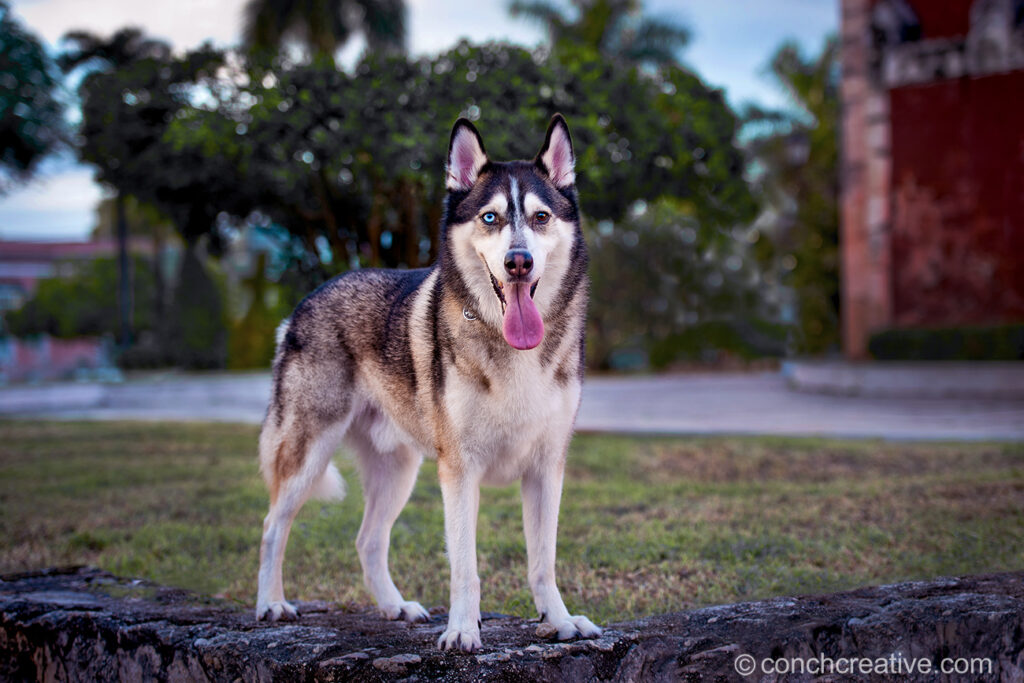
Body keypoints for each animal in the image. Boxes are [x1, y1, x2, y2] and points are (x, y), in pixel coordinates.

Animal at [253, 113, 598, 651]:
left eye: (541, 217)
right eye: (491, 218)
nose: (518, 261)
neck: (508, 345)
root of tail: (307, 299)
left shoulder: (547, 467)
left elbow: (543, 563)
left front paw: (559, 621)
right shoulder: (459, 470)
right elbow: (465, 568)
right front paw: (462, 630)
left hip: (398, 470)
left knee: (367, 540)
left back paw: (395, 606)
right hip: (307, 452)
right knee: (273, 525)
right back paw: (270, 603)